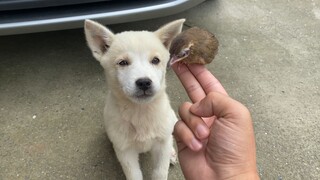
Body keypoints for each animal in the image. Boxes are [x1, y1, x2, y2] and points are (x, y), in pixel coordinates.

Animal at [84, 19, 185, 179]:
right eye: (122, 62)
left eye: (155, 60)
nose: (144, 82)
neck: (140, 112)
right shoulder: (125, 151)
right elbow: (134, 175)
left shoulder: (161, 145)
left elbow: (160, 172)